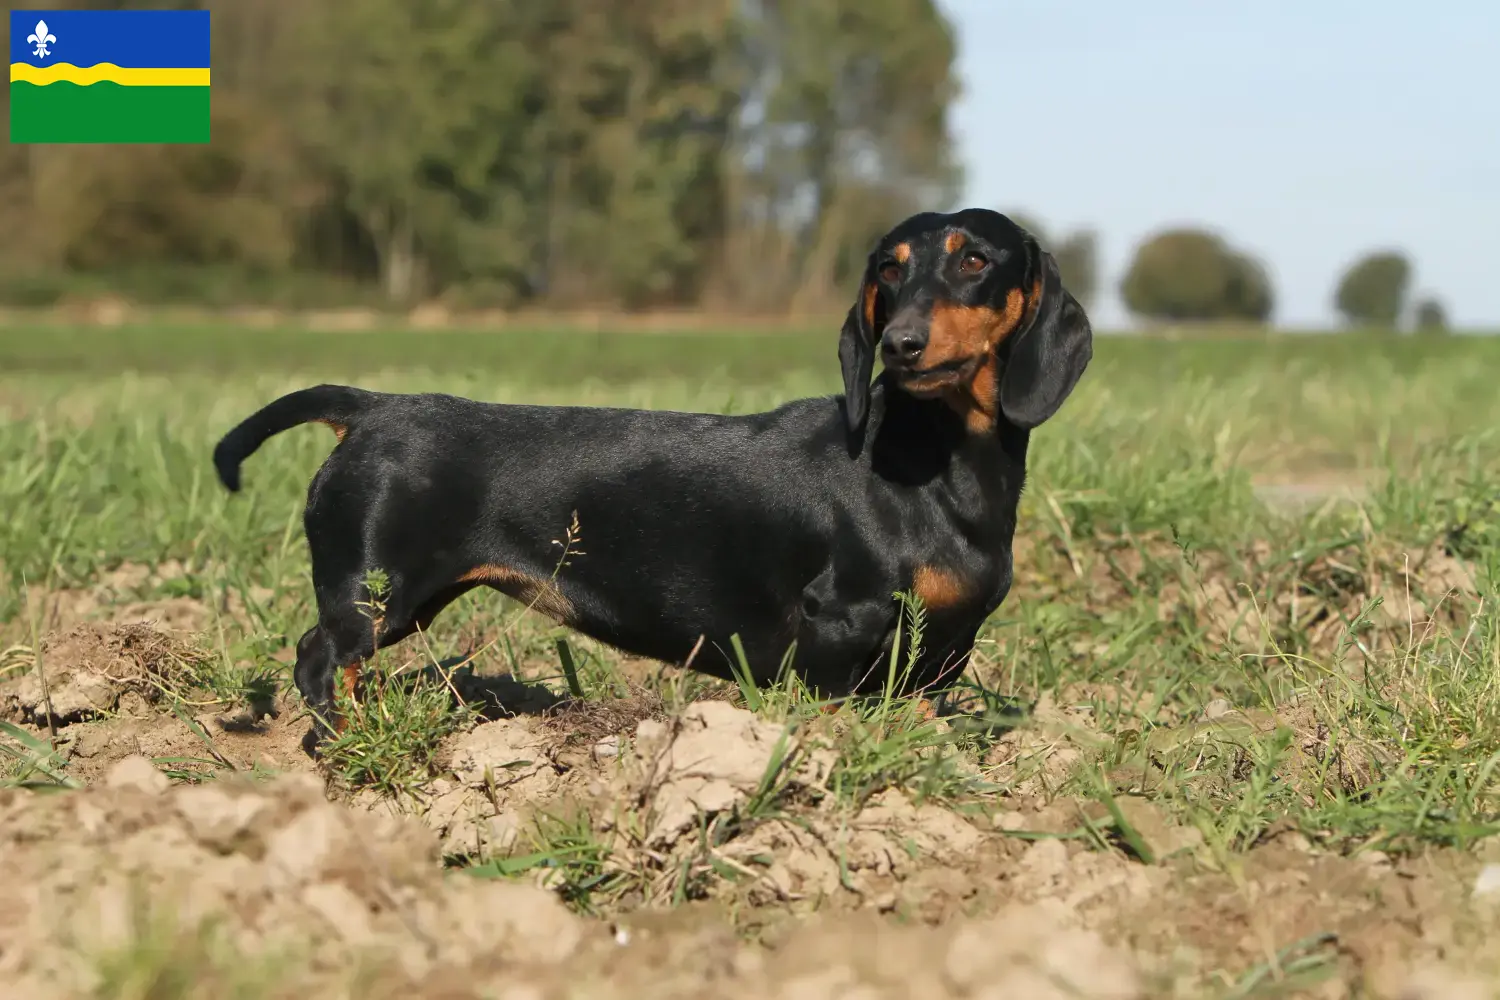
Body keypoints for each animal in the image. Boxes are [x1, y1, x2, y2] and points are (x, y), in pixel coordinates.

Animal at [211, 209, 1092, 743]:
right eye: (888, 269)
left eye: (974, 259)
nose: (903, 344)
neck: (935, 466)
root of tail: (370, 407)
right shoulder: (841, 623)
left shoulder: (946, 651)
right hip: (378, 593)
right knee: (320, 661)